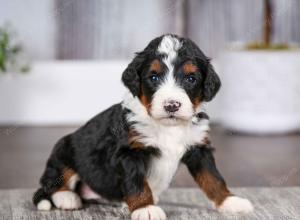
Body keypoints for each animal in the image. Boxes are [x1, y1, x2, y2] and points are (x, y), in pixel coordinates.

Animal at [32, 34, 253, 220]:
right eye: (153, 77)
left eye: (191, 78)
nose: (171, 105)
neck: (168, 127)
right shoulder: (130, 152)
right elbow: (137, 182)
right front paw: (145, 208)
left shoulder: (199, 149)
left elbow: (213, 178)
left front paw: (230, 201)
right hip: (63, 148)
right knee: (52, 182)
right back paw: (68, 198)